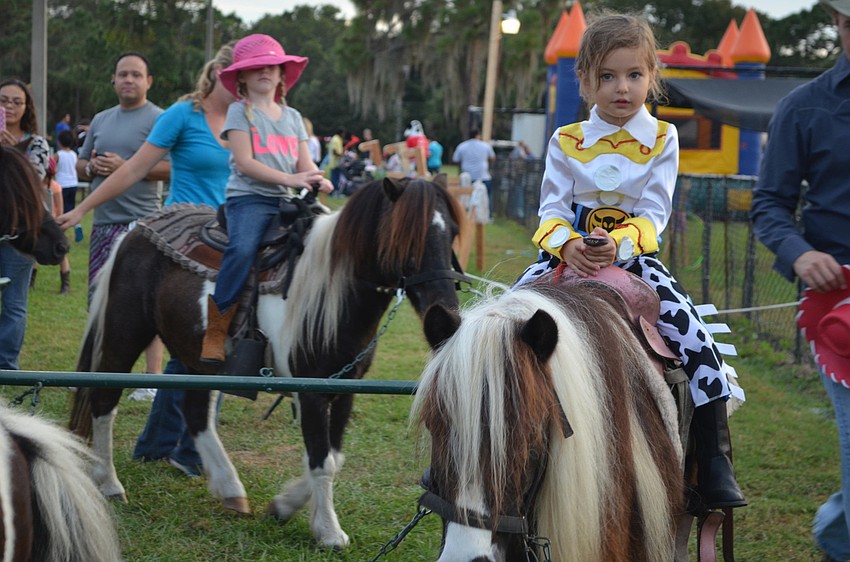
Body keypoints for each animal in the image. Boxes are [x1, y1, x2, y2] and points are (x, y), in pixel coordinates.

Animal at [68, 175, 467, 550]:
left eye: (451, 232)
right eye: (406, 238)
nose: (445, 308)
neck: (332, 294)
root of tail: (135, 231)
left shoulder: (346, 389)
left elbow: (334, 457)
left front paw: (284, 507)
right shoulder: (310, 393)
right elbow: (321, 461)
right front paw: (328, 531)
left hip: (197, 358)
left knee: (196, 414)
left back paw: (230, 489)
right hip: (125, 333)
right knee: (103, 402)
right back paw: (110, 484)